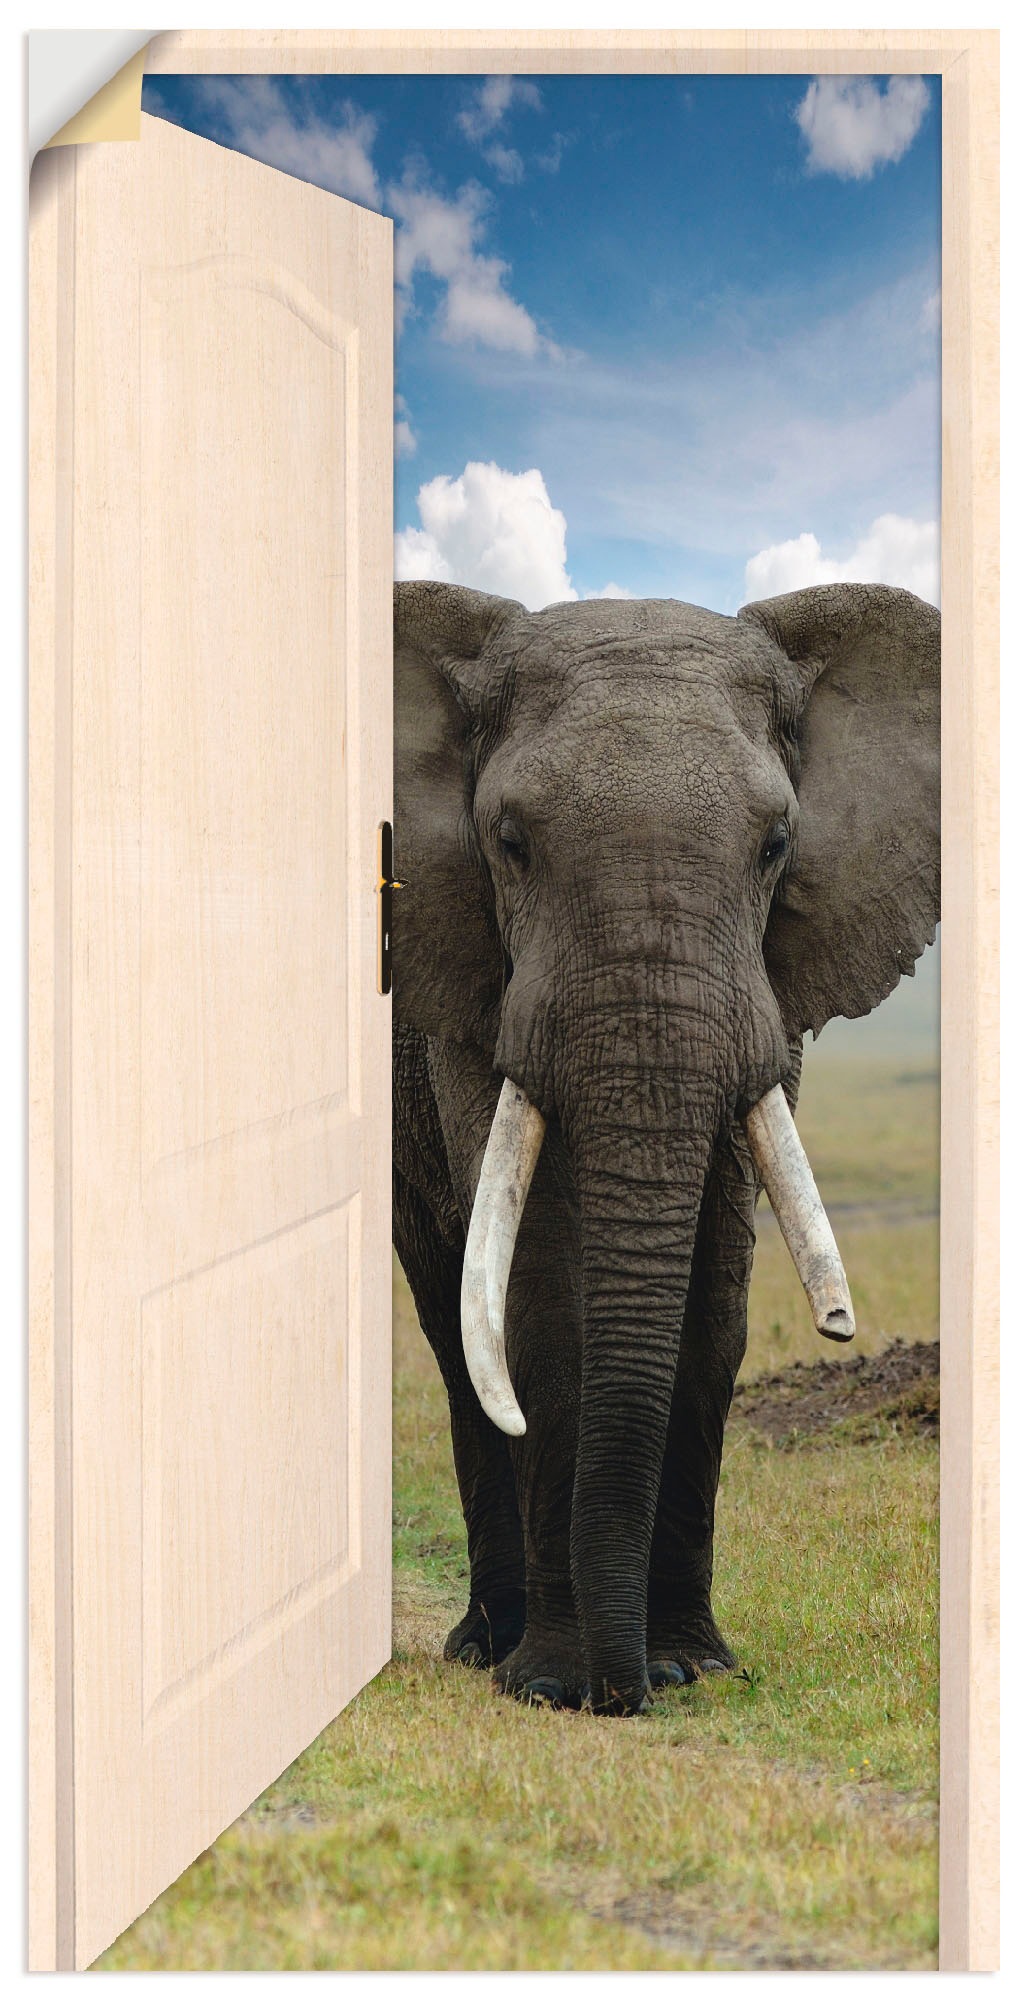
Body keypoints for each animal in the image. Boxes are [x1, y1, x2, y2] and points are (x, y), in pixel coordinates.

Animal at [392, 579, 940, 1716]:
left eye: (775, 846)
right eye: (509, 842)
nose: (628, 1689)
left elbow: (714, 1296)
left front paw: (696, 1664)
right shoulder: (468, 987)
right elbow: (537, 1301)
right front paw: (551, 1684)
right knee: (454, 1327)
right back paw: (485, 1645)